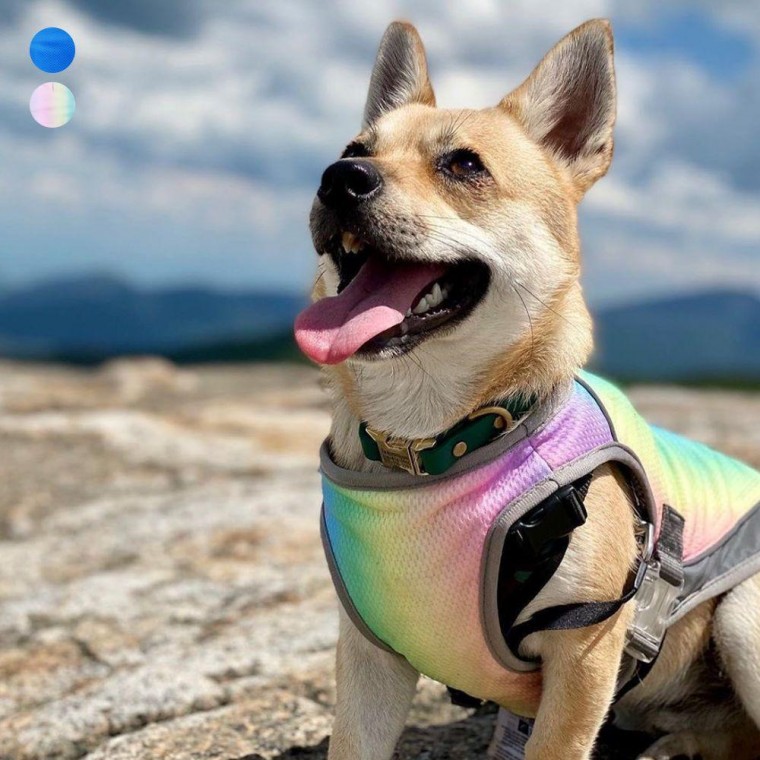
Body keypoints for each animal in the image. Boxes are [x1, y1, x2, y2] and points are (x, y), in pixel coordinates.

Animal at [294, 17, 760, 760]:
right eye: (353, 149)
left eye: (464, 165)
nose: (338, 178)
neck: (435, 440)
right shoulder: (369, 659)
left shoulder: (584, 651)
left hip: (742, 616)